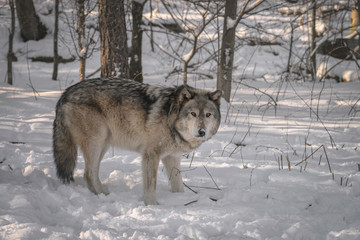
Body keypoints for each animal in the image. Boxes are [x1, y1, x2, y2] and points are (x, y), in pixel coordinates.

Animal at [52, 78, 222, 205]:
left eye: (208, 115)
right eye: (193, 114)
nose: (201, 132)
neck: (169, 117)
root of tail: (66, 93)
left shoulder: (171, 157)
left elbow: (178, 184)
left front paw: (180, 199)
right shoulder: (151, 155)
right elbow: (151, 185)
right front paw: (152, 206)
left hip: (104, 144)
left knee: (92, 172)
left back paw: (104, 194)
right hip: (96, 141)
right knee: (88, 173)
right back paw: (102, 198)